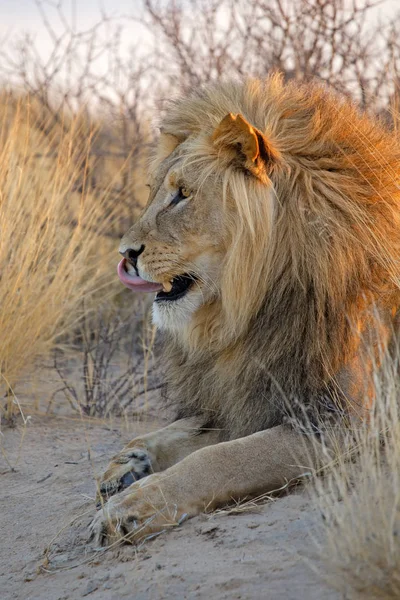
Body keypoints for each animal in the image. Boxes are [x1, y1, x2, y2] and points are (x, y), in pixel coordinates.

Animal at [89, 74, 400, 544]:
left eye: (182, 195)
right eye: (154, 192)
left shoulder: (348, 421)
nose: (124, 254)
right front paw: (126, 464)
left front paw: (132, 506)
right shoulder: (249, 392)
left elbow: (220, 459)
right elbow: (185, 430)